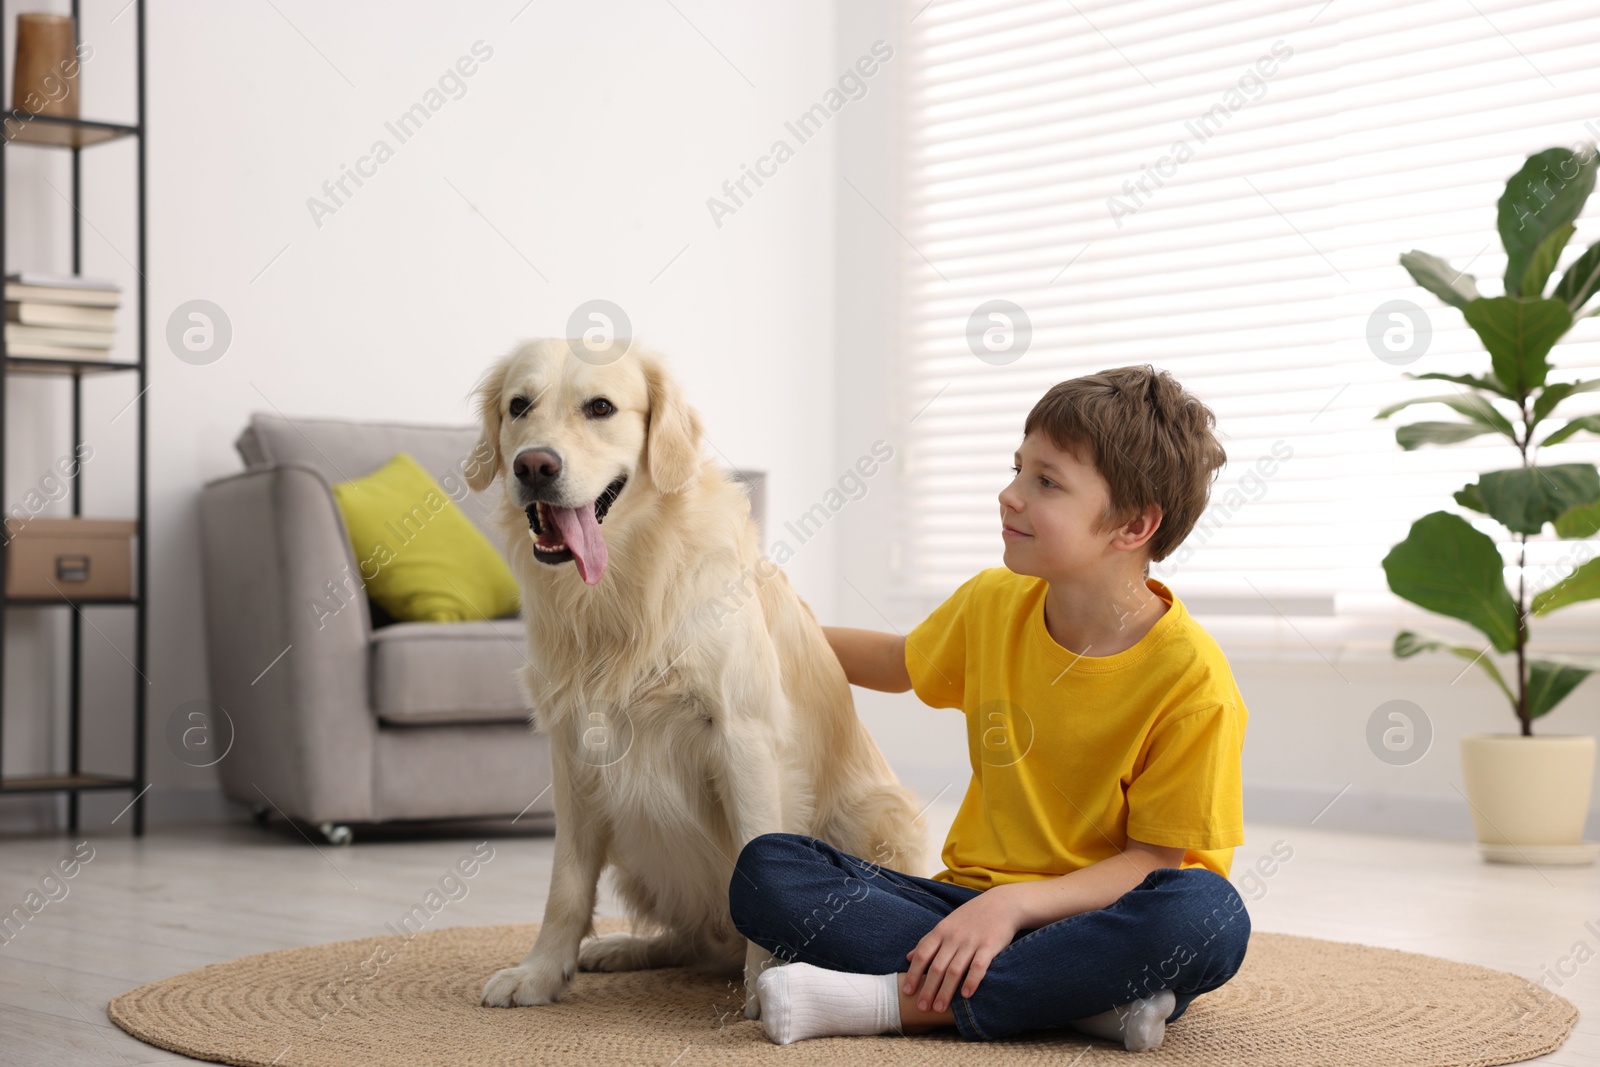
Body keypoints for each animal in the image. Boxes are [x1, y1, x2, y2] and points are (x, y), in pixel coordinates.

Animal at [467, 340, 928, 1017]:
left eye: (600, 407)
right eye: (518, 406)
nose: (534, 466)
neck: (625, 589)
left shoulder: (743, 737)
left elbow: (756, 864)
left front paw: (764, 987)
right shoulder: (574, 749)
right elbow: (566, 884)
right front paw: (541, 972)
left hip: (880, 815)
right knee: (695, 943)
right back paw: (622, 949)